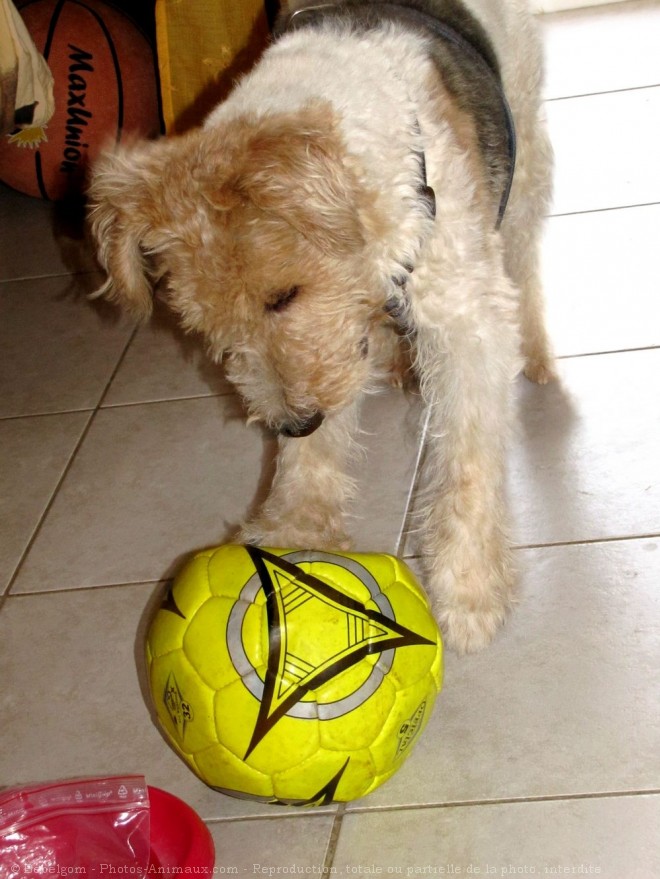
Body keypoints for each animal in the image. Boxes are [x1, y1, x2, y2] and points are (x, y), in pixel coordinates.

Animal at [86, 0, 552, 648]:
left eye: (284, 295)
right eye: (208, 324)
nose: (295, 422)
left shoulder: (464, 313)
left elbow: (468, 458)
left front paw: (469, 593)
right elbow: (316, 446)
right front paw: (294, 531)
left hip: (527, 153)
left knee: (526, 254)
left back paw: (537, 356)